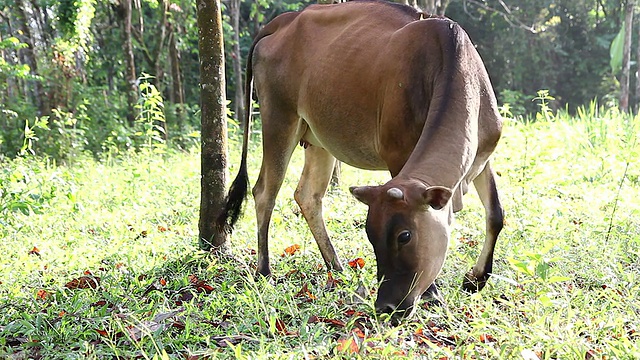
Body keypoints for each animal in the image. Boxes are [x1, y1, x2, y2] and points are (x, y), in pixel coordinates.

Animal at [216, 0, 504, 316]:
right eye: (371, 237)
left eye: (404, 236)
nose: (387, 305)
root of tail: (284, 20)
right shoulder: (397, 153)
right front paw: (433, 293)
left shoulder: (482, 159)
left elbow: (495, 215)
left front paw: (476, 279)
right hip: (279, 117)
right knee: (265, 192)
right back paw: (265, 271)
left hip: (317, 138)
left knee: (307, 195)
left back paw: (336, 267)